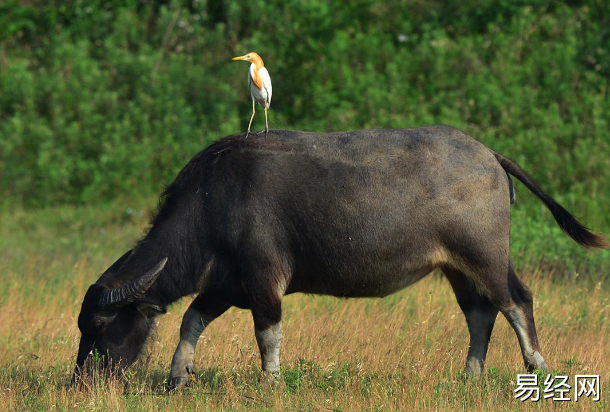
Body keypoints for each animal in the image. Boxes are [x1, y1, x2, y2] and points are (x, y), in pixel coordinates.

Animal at [71, 124, 604, 386]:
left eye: (100, 325)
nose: (83, 382)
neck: (211, 204)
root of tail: (488, 154)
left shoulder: (263, 280)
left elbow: (267, 334)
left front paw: (271, 383)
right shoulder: (225, 283)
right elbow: (191, 321)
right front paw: (177, 377)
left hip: (485, 255)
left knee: (516, 300)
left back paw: (538, 369)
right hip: (455, 267)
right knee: (480, 313)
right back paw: (468, 377)